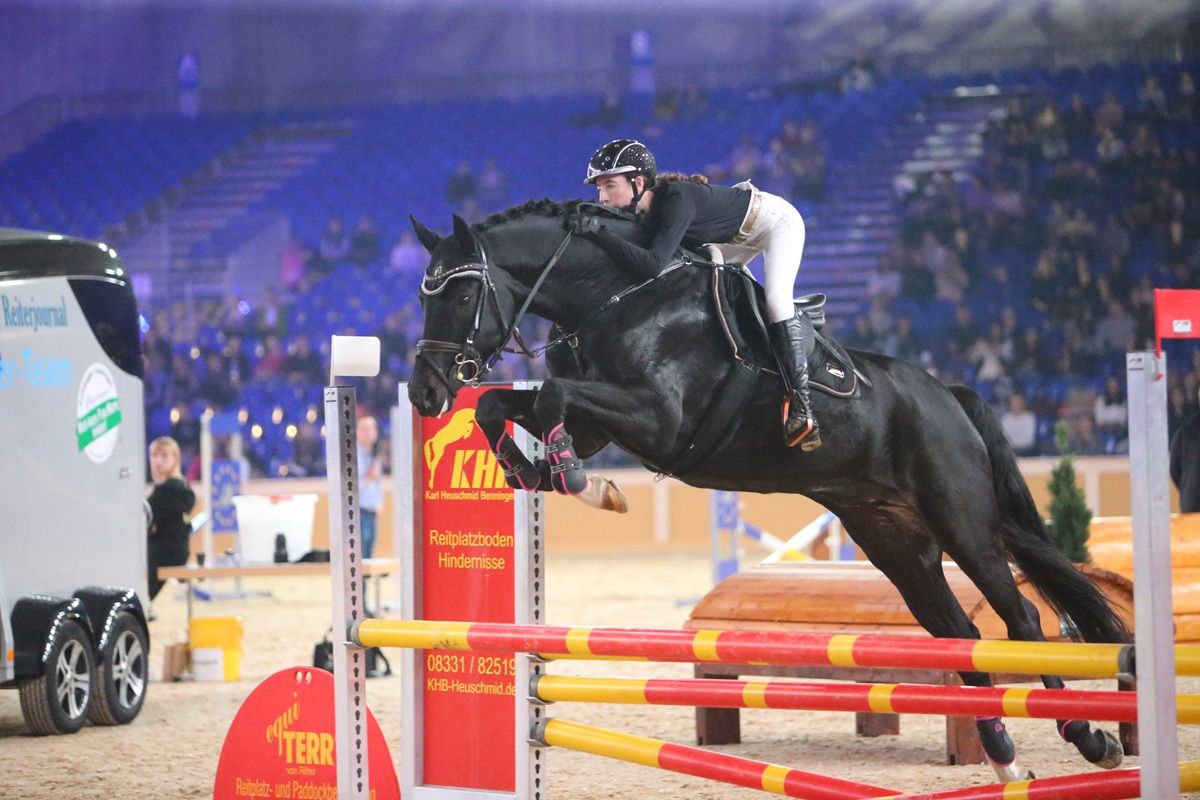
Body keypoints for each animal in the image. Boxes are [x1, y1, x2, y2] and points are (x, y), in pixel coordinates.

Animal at [406, 199, 1129, 780]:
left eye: (461, 298)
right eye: (423, 298)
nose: (424, 393)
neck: (612, 296)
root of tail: (948, 395)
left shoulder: (657, 418)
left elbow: (551, 394)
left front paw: (585, 484)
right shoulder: (595, 422)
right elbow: (499, 406)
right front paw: (537, 472)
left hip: (963, 523)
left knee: (1021, 617)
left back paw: (1088, 737)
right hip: (897, 543)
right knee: (959, 631)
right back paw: (1002, 751)